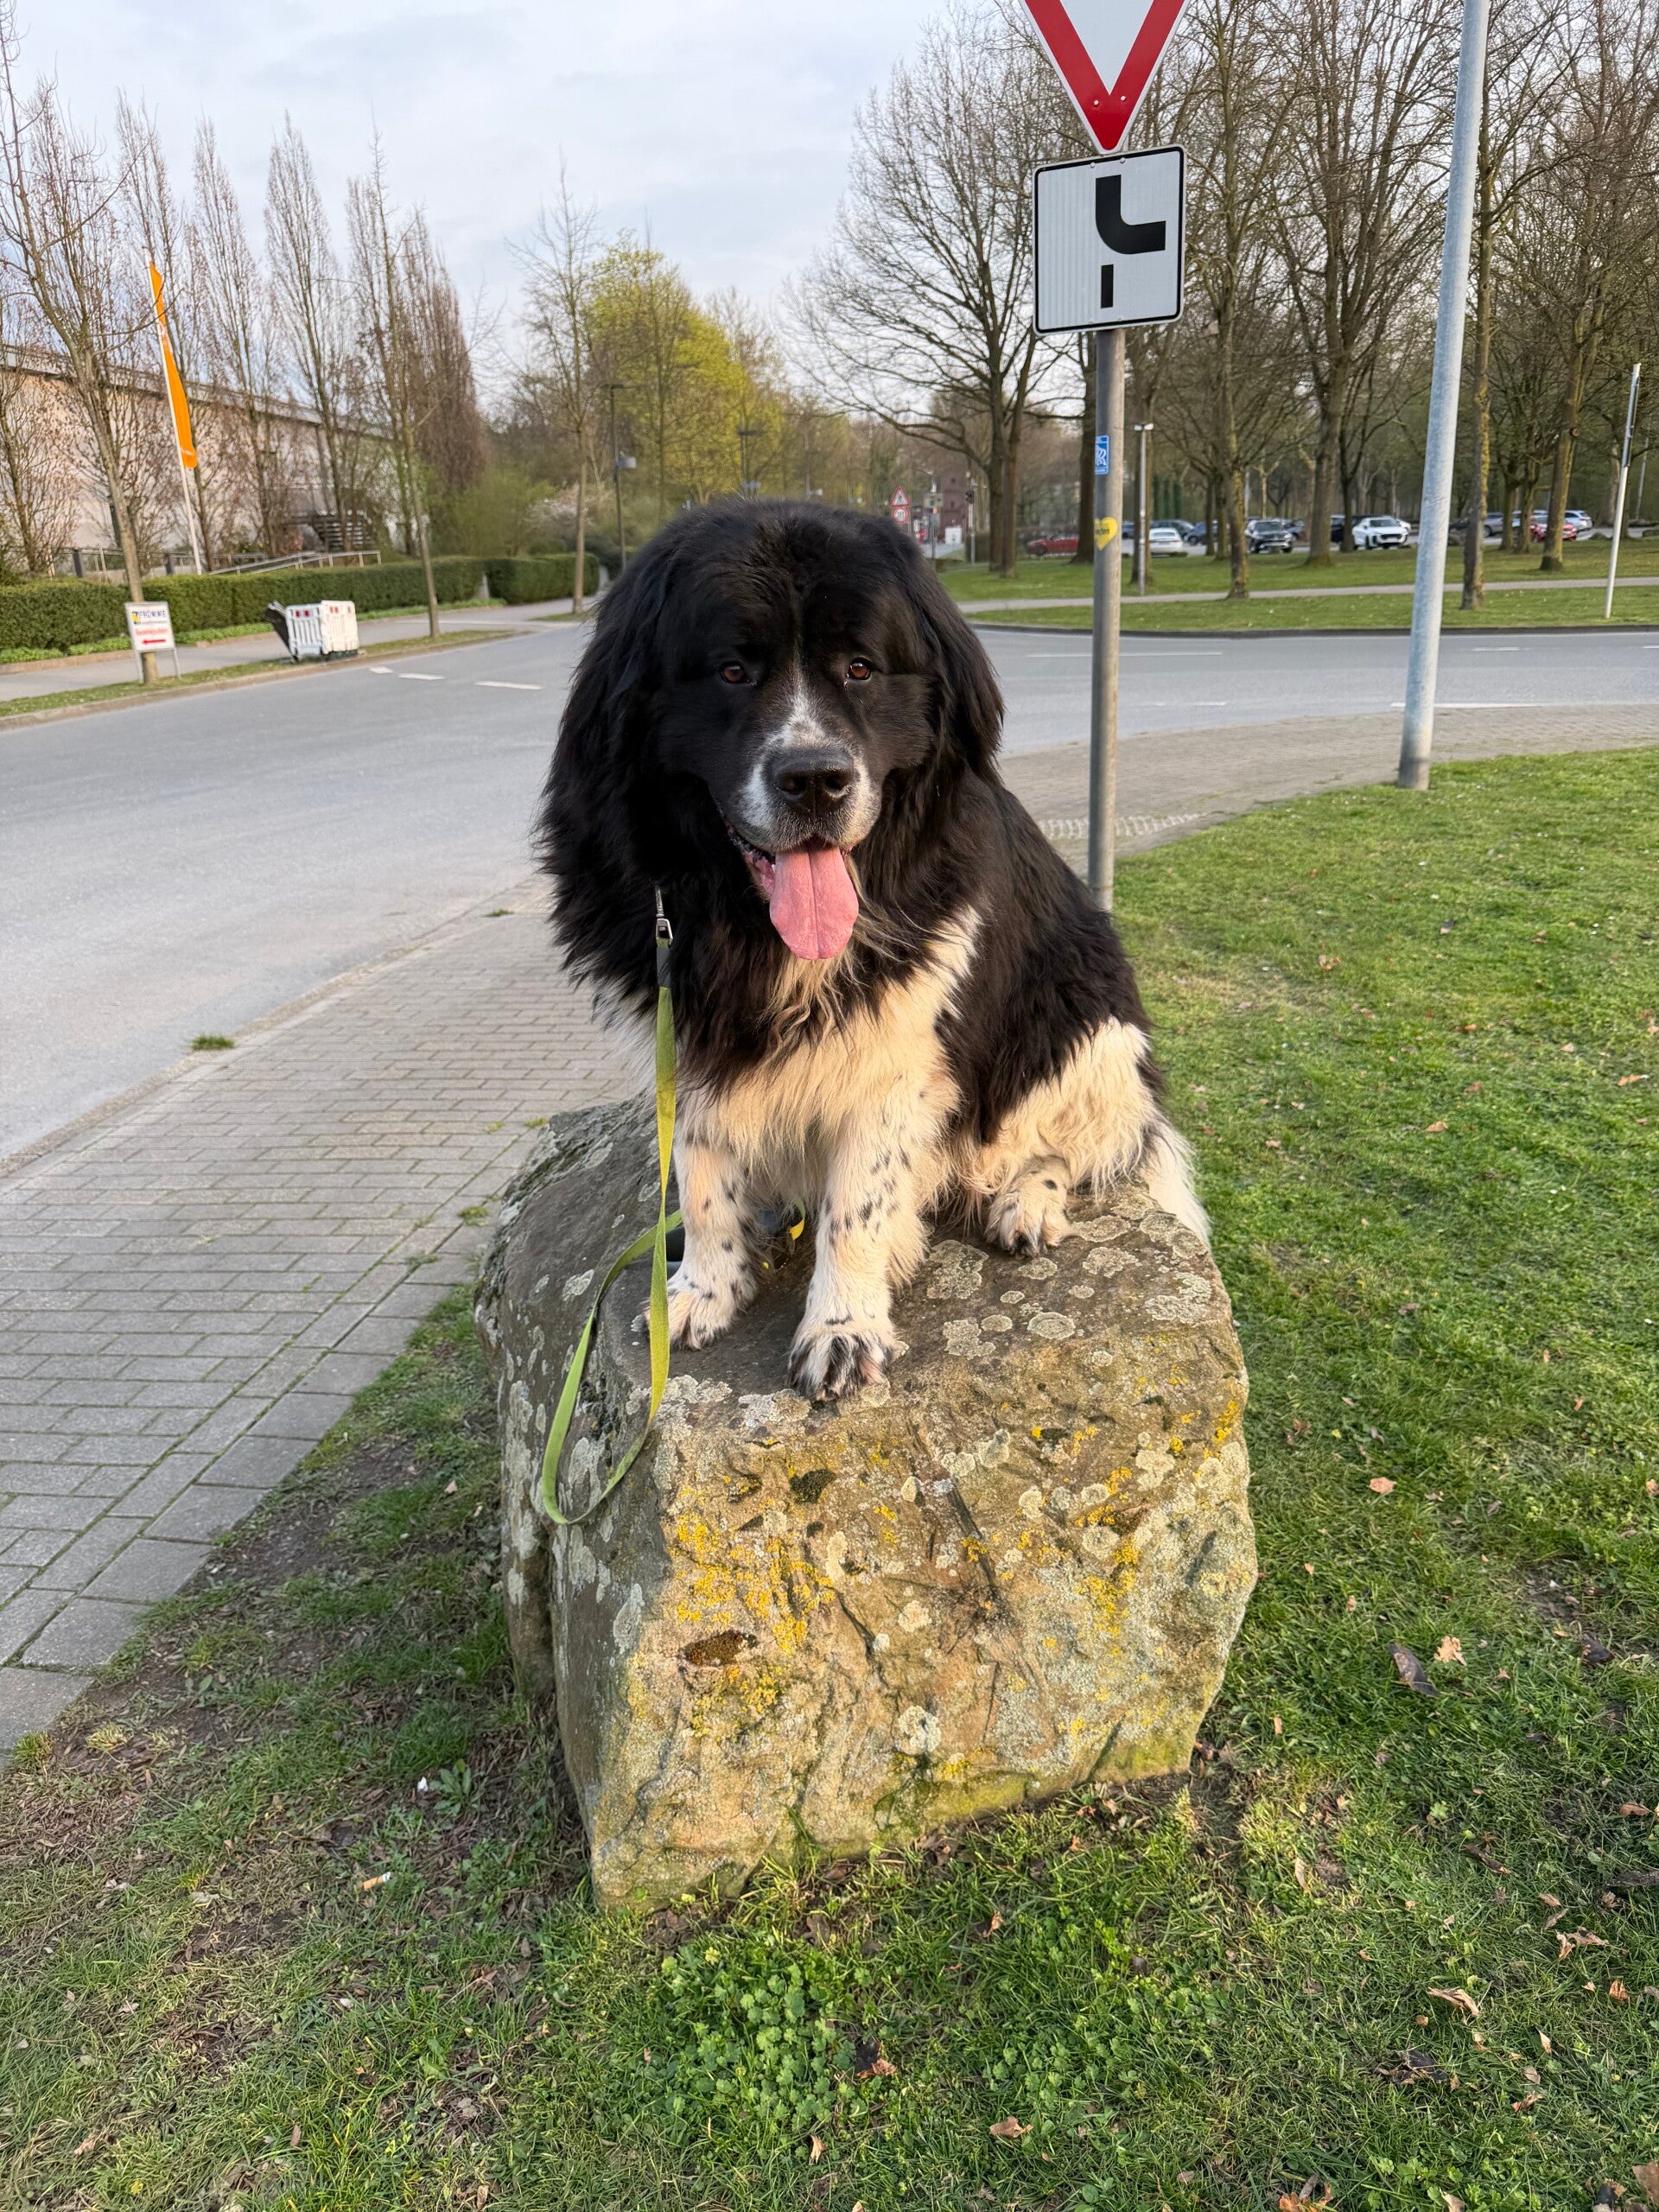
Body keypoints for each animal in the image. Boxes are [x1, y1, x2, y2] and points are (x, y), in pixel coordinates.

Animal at [541, 499, 1205, 1401]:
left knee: (1079, 1141)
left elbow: (857, 1202)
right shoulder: (684, 1029)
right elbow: (703, 1171)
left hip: (1084, 1020)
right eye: (731, 671)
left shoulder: (898, 1052)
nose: (815, 779)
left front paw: (842, 1325)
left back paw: (1026, 1202)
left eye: (860, 668)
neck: (749, 923)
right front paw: (699, 1290)